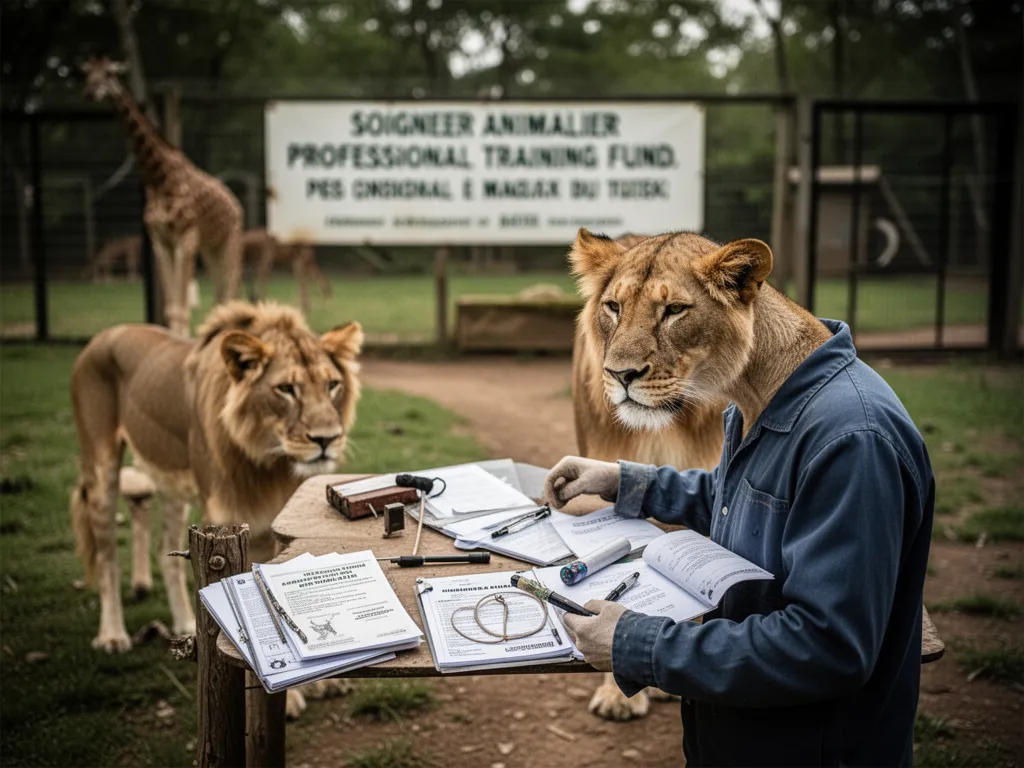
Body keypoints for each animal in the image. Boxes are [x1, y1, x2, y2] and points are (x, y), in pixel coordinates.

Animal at [82, 57, 242, 336]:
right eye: (87, 74)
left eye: (109, 73)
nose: (90, 92)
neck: (158, 178)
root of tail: (234, 204)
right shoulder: (160, 241)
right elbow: (172, 307)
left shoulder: (186, 238)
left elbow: (182, 306)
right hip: (211, 247)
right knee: (220, 296)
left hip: (229, 242)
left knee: (229, 291)